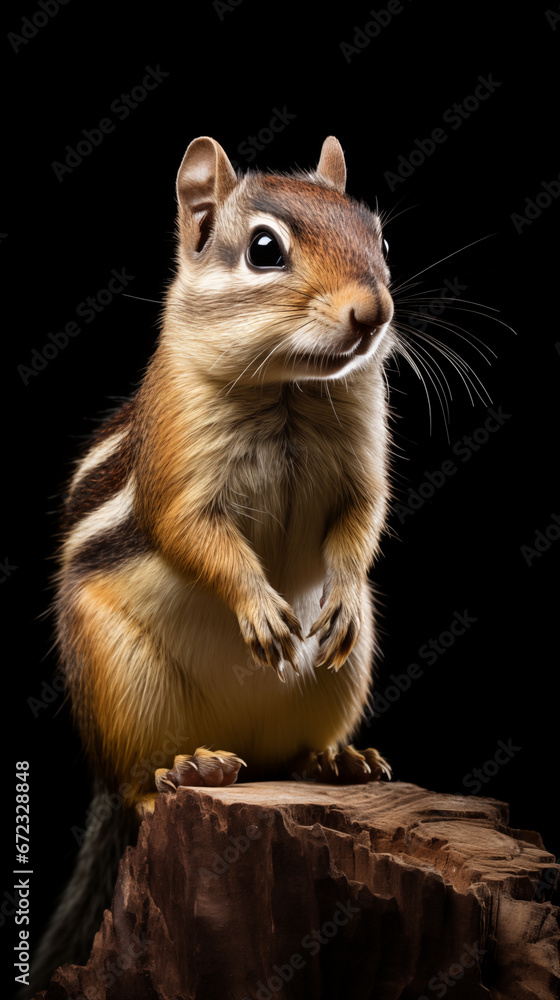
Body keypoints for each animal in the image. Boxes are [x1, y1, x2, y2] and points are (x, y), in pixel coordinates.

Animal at [30, 135, 395, 993]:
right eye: (264, 249)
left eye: (380, 239)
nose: (376, 312)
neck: (292, 389)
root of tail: (246, 752)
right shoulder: (178, 456)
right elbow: (195, 535)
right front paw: (260, 609)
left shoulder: (365, 458)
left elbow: (361, 521)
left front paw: (341, 594)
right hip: (118, 678)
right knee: (133, 785)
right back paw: (183, 773)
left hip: (343, 677)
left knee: (299, 749)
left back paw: (340, 760)